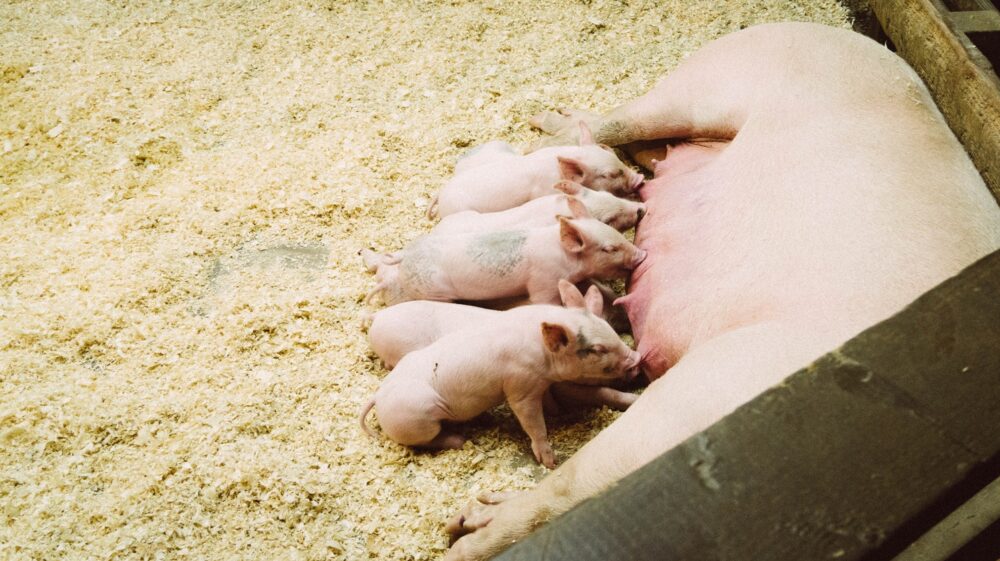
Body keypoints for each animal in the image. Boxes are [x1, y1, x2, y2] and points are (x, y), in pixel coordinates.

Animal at [358, 301, 642, 468]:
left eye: (609, 327)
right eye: (597, 349)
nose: (637, 358)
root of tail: (378, 397)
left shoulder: (540, 383)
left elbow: (549, 402)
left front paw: (556, 413)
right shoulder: (519, 387)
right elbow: (533, 423)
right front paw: (550, 462)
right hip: (419, 420)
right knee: (424, 441)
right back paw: (459, 439)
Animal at [362, 216, 646, 306]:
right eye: (609, 248)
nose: (642, 254)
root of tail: (406, 256)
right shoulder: (543, 282)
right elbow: (544, 301)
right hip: (435, 291)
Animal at [363, 280, 638, 411]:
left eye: (611, 329)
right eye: (597, 351)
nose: (636, 359)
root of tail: (379, 316)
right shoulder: (562, 386)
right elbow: (603, 393)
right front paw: (633, 400)